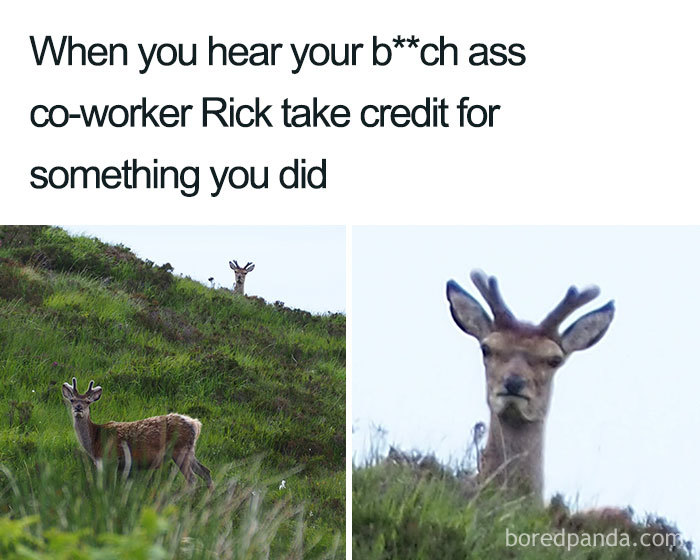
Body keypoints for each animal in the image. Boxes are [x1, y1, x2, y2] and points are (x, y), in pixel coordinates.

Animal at [61, 378, 212, 488]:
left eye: (88, 401)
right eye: (72, 400)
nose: (78, 407)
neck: (95, 439)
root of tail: (195, 424)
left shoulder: (111, 459)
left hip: (180, 450)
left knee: (192, 479)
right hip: (190, 451)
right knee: (206, 472)